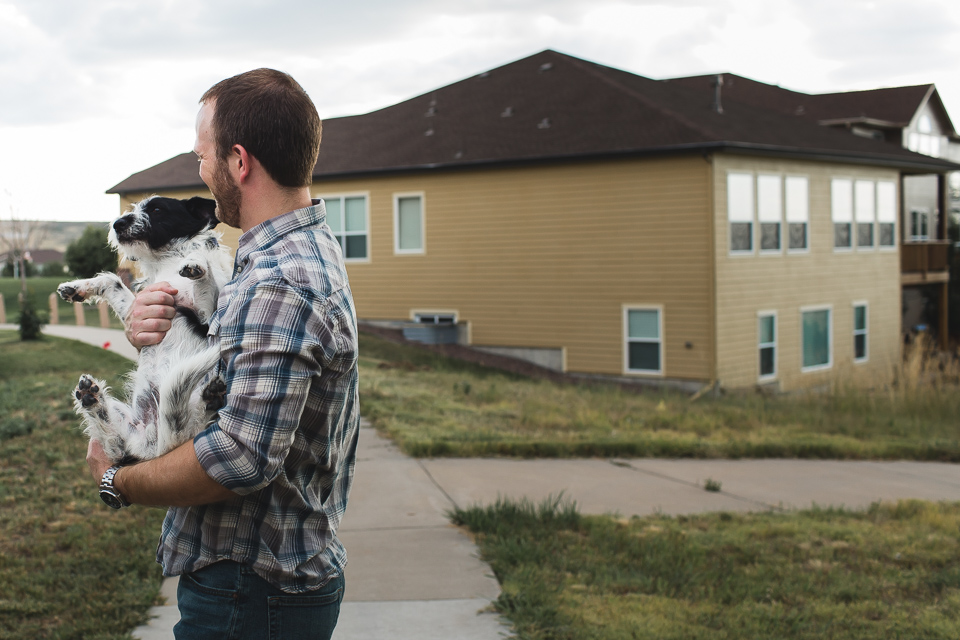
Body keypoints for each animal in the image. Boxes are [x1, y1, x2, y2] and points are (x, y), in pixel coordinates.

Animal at [59, 196, 233, 464]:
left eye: (157, 209)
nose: (118, 223)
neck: (166, 261)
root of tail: (157, 446)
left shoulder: (208, 315)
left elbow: (205, 273)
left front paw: (196, 262)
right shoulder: (141, 303)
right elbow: (112, 281)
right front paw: (77, 287)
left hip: (188, 423)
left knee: (191, 428)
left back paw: (208, 402)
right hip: (128, 427)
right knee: (116, 444)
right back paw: (92, 400)